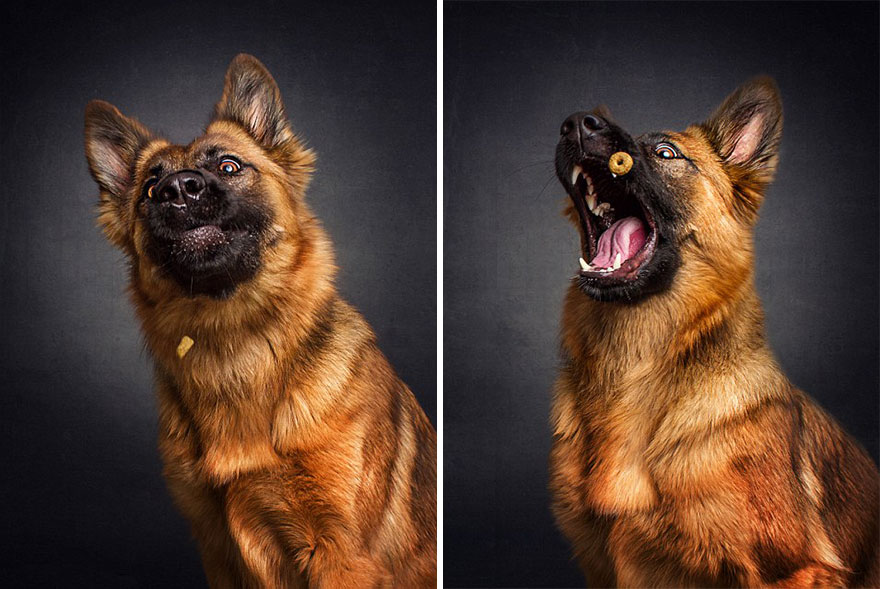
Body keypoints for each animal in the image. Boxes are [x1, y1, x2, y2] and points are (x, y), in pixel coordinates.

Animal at [84, 54, 434, 584]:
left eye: (229, 166)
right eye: (148, 188)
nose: (176, 190)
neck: (233, 336)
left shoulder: (343, 556)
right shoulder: (218, 549)